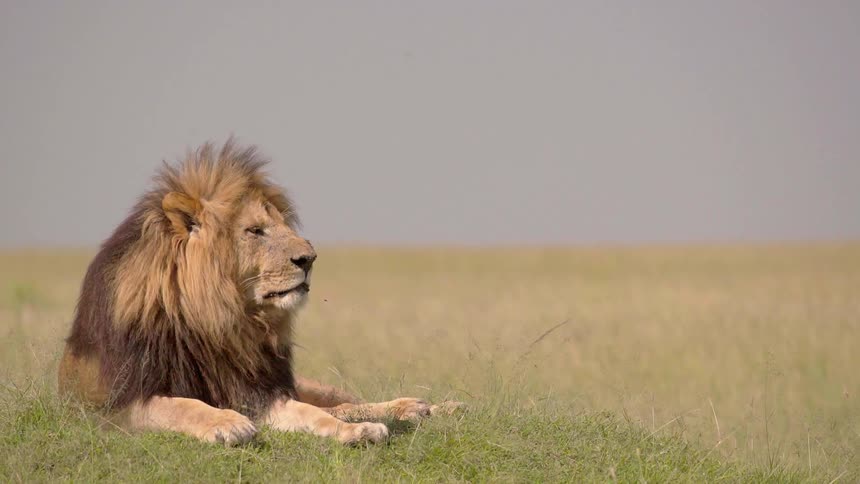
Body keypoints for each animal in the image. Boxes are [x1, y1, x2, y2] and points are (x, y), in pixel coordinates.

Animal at [58, 140, 459, 445]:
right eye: (255, 231)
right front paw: (226, 422)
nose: (309, 258)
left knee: (342, 402)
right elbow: (181, 406)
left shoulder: (260, 393)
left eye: (281, 226)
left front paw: (359, 431)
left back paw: (429, 407)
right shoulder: (121, 402)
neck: (218, 321)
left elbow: (313, 413)